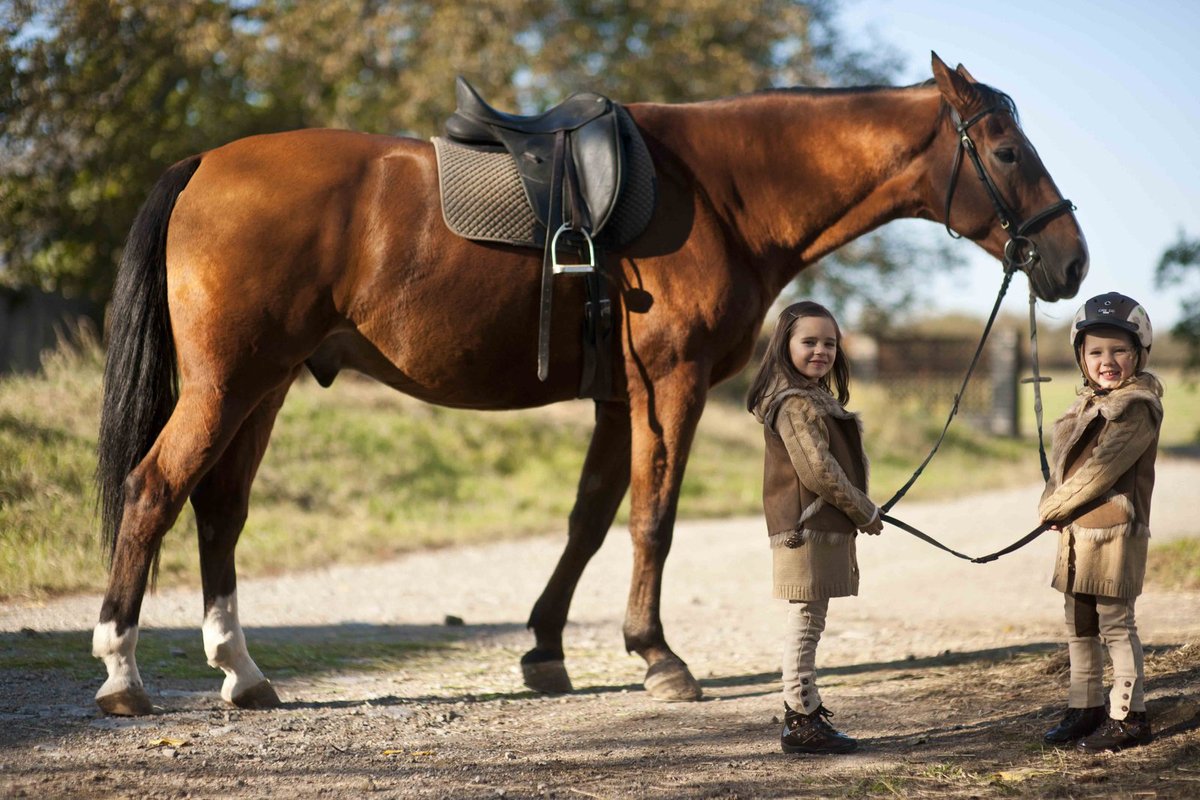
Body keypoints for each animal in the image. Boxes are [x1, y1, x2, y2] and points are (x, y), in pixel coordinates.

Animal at [93, 56, 1089, 719]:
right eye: (1005, 150)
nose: (1071, 261)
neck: (717, 189)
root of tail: (204, 165)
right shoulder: (670, 387)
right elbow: (653, 518)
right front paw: (657, 657)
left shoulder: (619, 399)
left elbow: (589, 518)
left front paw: (545, 652)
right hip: (228, 385)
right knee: (153, 490)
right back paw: (122, 672)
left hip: (262, 389)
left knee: (219, 511)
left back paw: (243, 674)